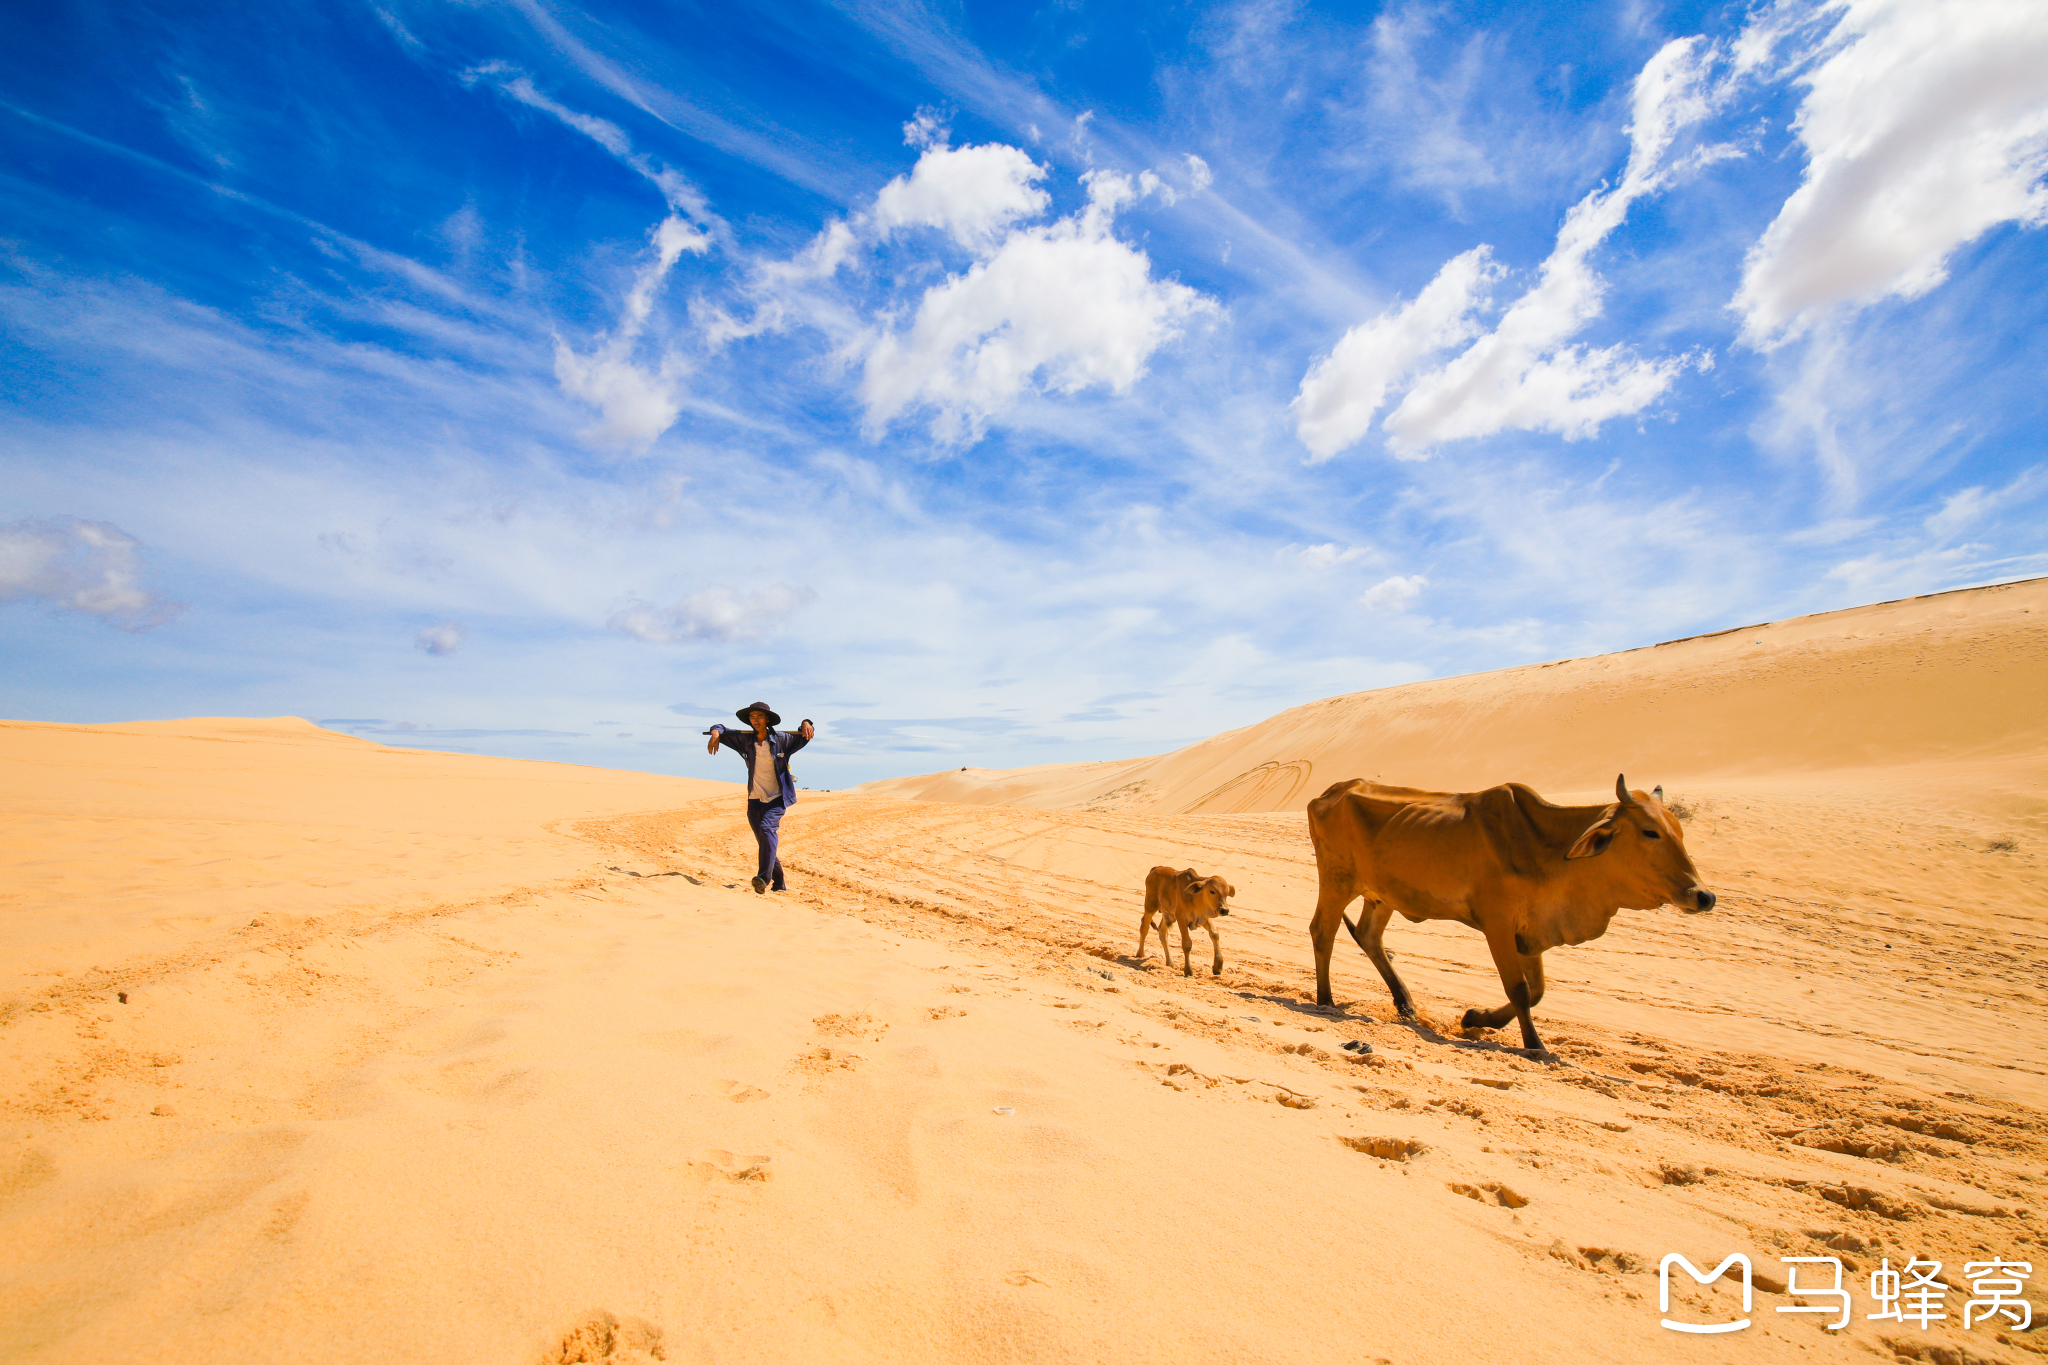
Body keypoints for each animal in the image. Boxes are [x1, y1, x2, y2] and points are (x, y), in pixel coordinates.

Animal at [1310, 773, 1712, 1055]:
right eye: (1650, 832)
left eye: (1678, 830)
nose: (1704, 896)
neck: (1546, 846)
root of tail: (1328, 793)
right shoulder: (1498, 924)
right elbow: (1518, 989)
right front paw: (1534, 1045)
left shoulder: (1531, 932)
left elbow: (1536, 990)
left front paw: (1476, 1017)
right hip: (1337, 880)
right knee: (1323, 931)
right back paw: (1326, 1000)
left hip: (1382, 896)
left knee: (1369, 937)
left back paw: (1405, 1004)